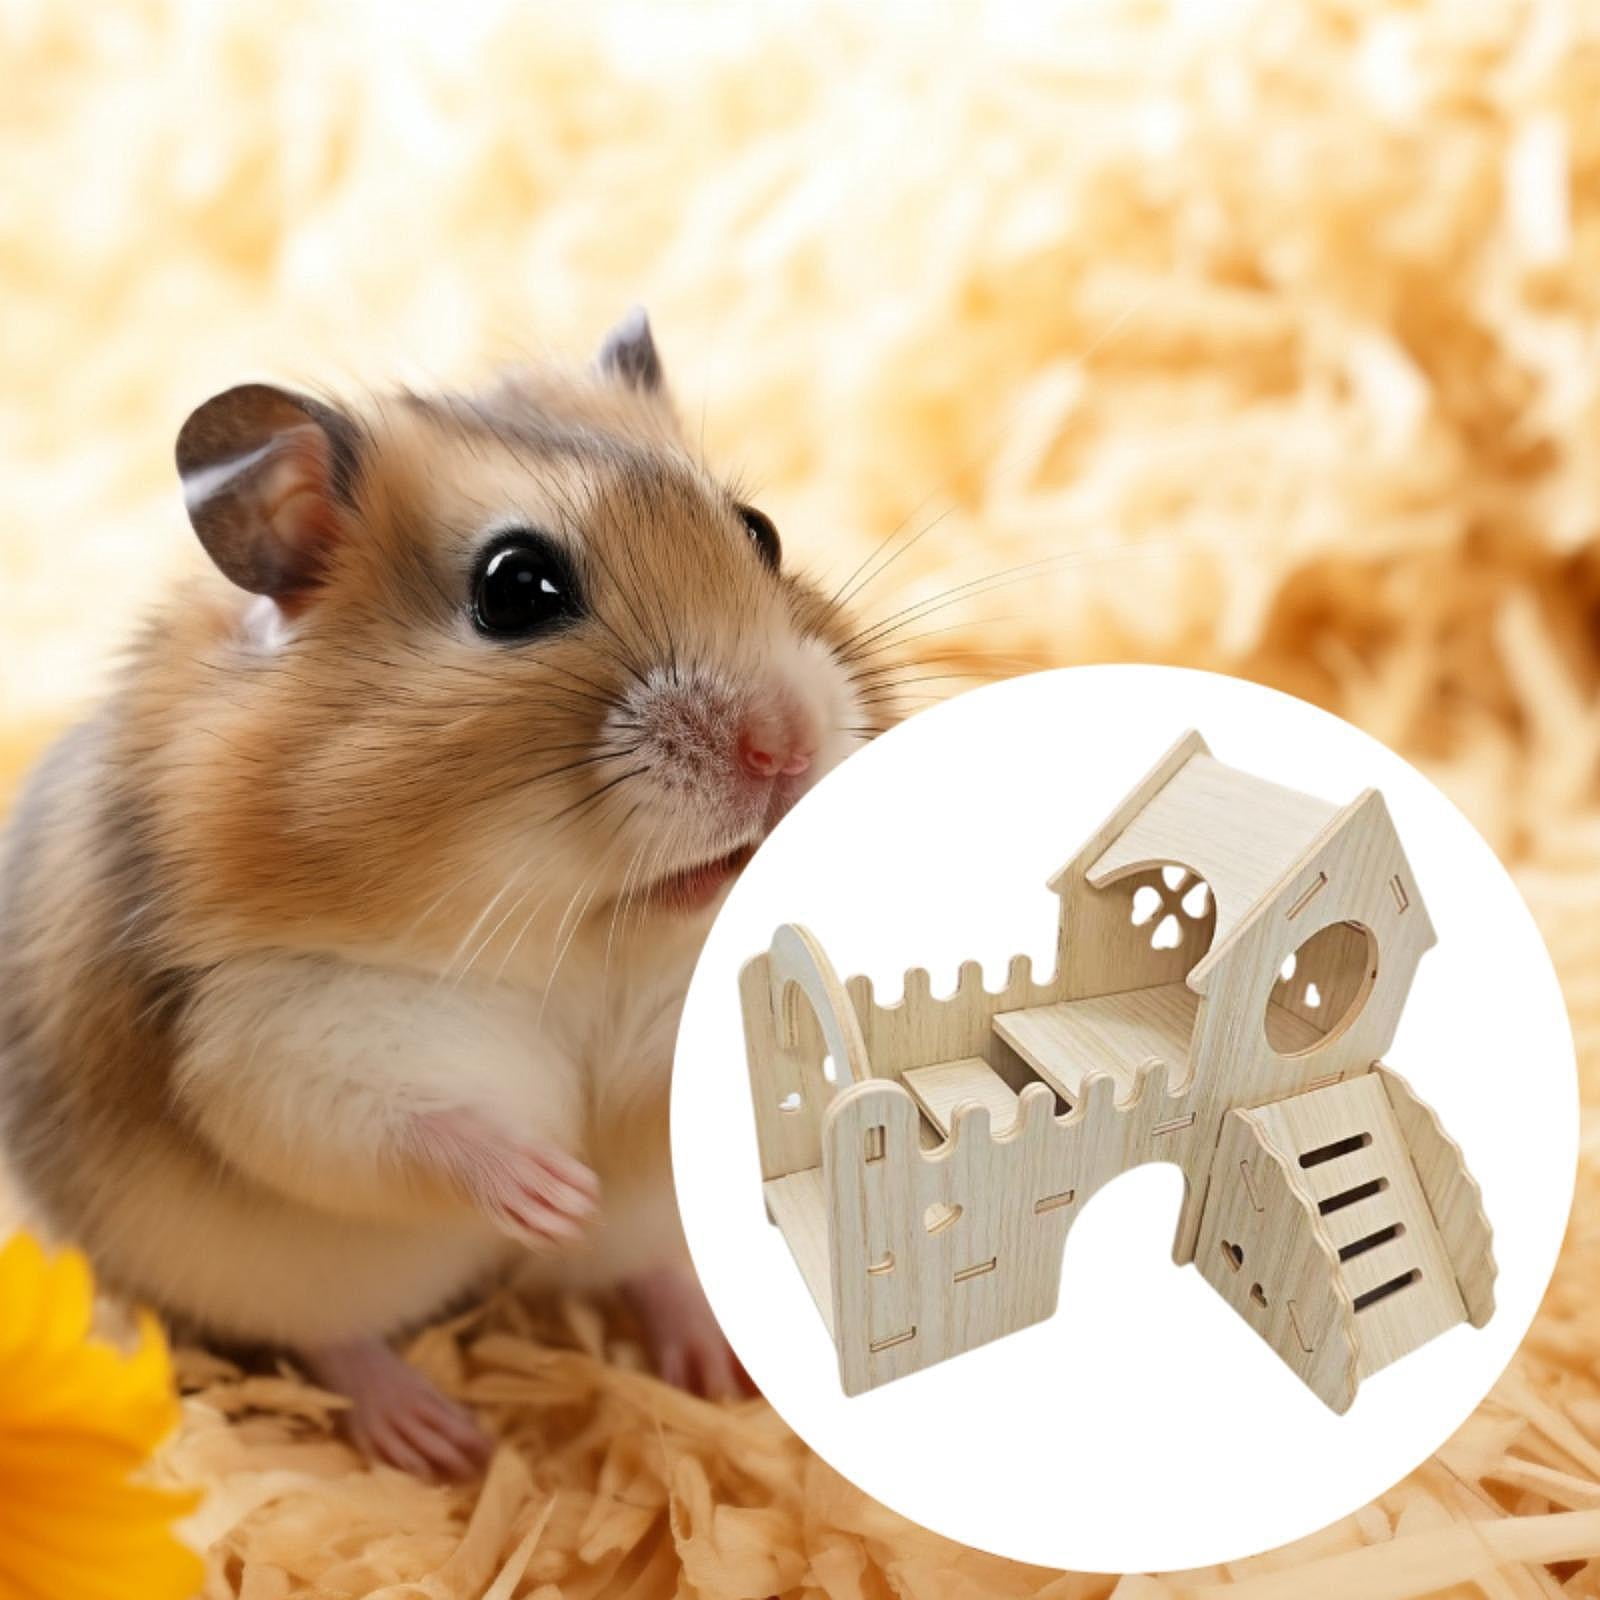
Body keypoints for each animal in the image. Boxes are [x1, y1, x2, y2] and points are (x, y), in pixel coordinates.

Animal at [0, 312, 875, 1478]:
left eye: (762, 531)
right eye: (515, 588)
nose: (785, 747)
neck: (580, 932)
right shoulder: (276, 1036)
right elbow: (406, 1127)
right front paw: (554, 1190)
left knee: (643, 1267)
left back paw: (713, 1369)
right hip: (281, 1272)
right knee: (335, 1339)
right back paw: (437, 1437)